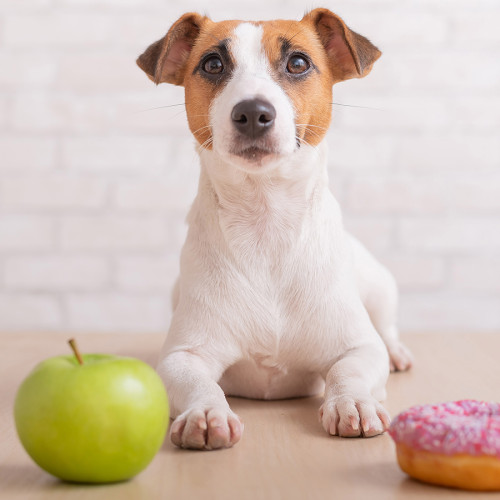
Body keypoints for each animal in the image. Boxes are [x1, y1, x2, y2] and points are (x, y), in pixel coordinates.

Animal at [136, 9, 410, 452]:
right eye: (213, 64)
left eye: (298, 62)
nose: (252, 112)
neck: (265, 223)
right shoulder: (183, 355)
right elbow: (197, 382)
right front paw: (206, 412)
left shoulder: (358, 346)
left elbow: (349, 370)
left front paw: (352, 402)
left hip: (379, 286)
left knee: (386, 328)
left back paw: (398, 351)